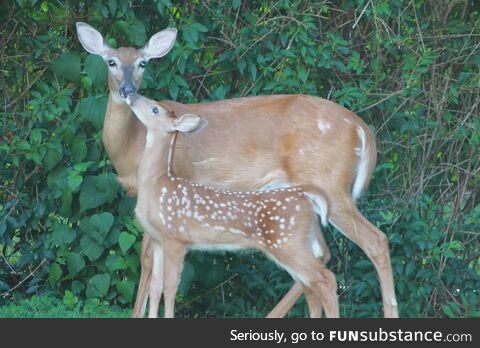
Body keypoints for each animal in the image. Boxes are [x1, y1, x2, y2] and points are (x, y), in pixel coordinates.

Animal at [77, 20, 400, 316]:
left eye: (143, 63)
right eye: (111, 61)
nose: (128, 90)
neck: (132, 143)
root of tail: (363, 130)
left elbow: (145, 261)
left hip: (330, 183)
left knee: (375, 241)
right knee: (323, 256)